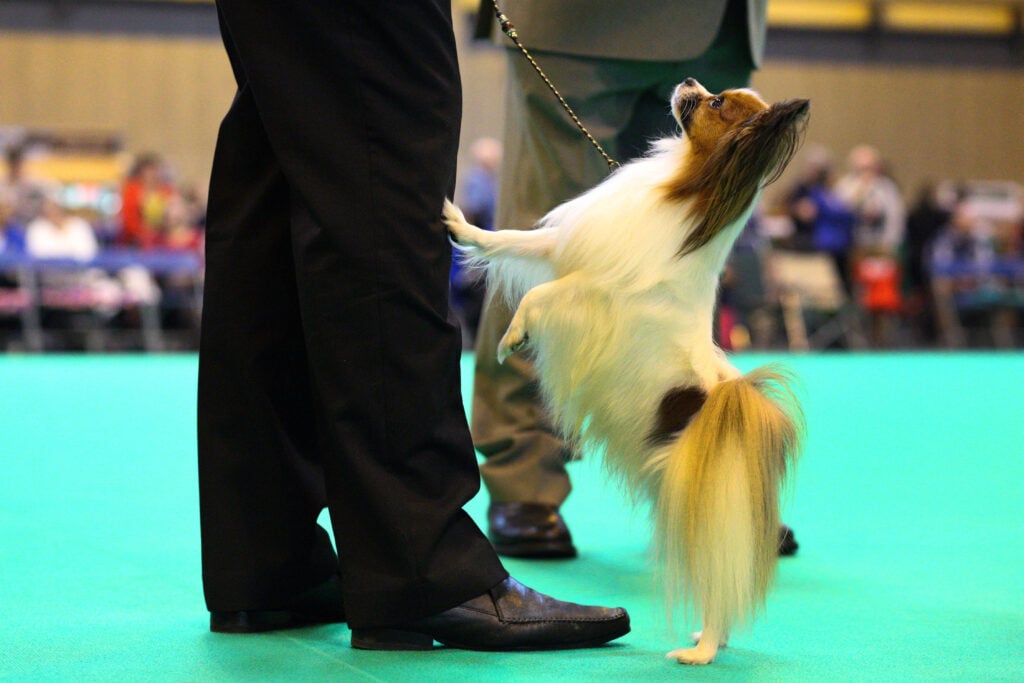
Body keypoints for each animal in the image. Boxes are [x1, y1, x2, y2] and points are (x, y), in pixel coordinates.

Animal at [444, 77, 811, 663]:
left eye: (715, 104)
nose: (688, 81)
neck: (685, 197)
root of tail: (729, 407)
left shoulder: (595, 295)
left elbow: (542, 296)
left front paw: (511, 338)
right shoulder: (568, 249)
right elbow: (508, 239)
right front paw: (457, 222)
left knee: (716, 580)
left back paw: (701, 651)